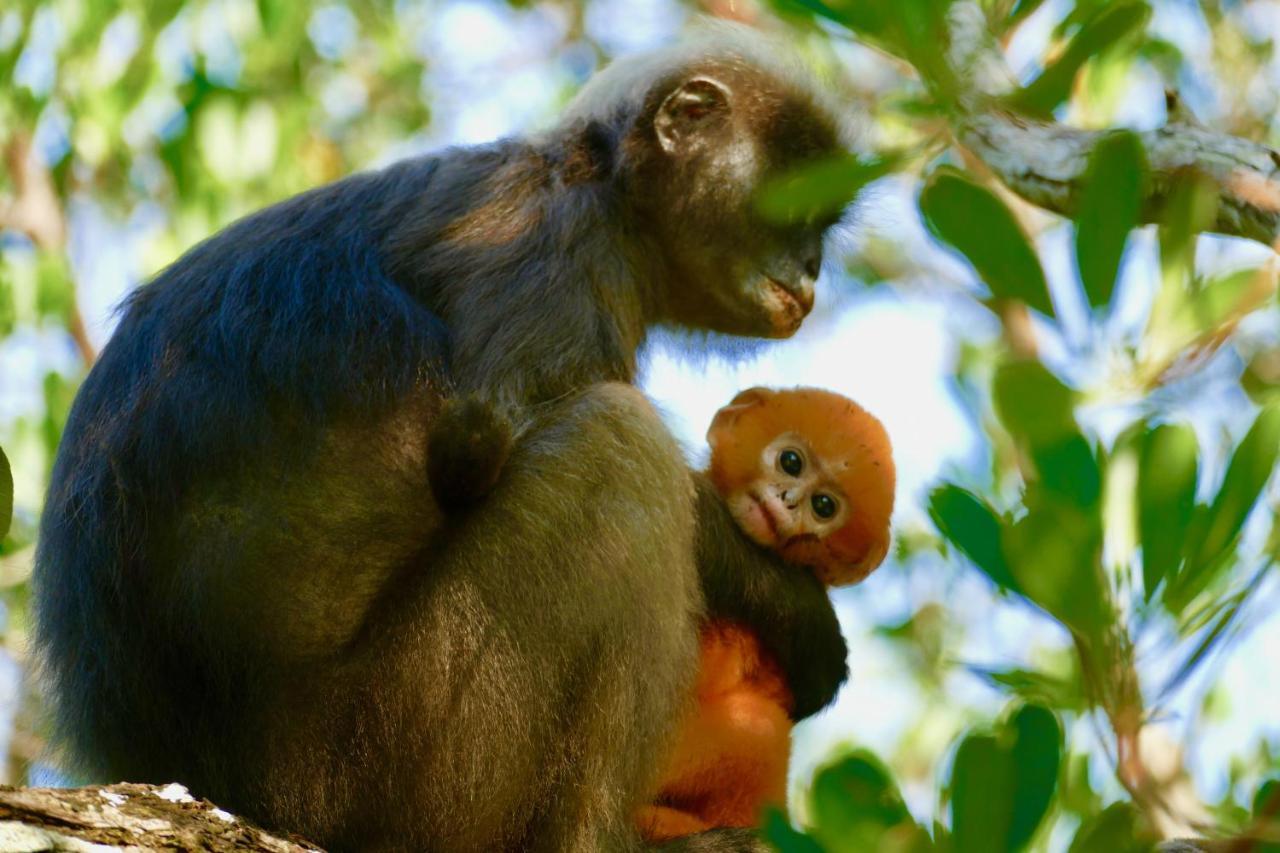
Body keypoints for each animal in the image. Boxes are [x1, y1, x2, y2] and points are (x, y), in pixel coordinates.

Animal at [35, 23, 849, 845]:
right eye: (793, 209)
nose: (813, 265)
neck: (598, 182)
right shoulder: (551, 250)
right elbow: (478, 445)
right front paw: (794, 610)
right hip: (394, 755)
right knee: (618, 442)